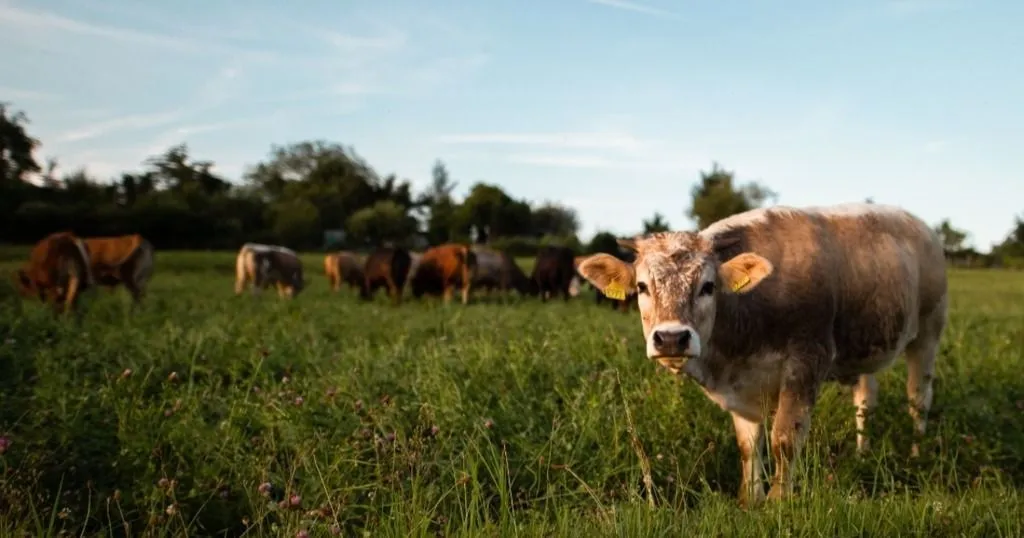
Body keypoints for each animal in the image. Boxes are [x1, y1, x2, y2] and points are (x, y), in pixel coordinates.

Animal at [573, 203, 946, 506]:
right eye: (642, 287)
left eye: (708, 286)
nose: (671, 338)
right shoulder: (740, 386)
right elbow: (748, 445)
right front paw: (750, 499)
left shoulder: (807, 359)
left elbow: (784, 438)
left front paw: (778, 501)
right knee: (866, 400)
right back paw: (863, 452)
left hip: (928, 334)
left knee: (919, 398)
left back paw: (916, 453)